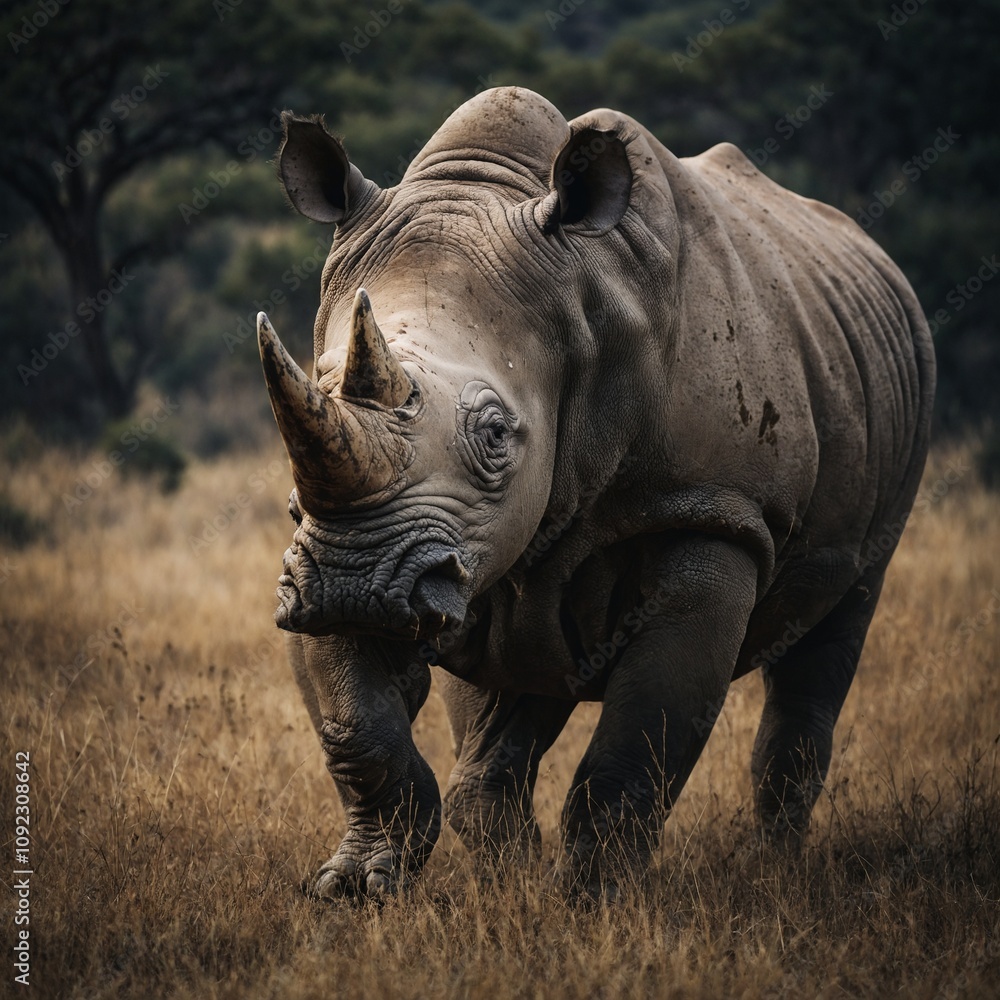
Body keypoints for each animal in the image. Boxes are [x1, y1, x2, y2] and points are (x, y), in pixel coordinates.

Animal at [257, 87, 934, 900]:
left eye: (496, 435)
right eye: (316, 392)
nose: (354, 582)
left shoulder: (715, 514)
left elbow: (639, 740)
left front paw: (597, 904)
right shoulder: (334, 537)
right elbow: (358, 726)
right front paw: (356, 890)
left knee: (836, 627)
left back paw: (775, 871)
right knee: (511, 686)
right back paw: (506, 877)